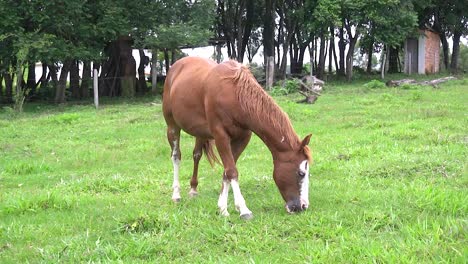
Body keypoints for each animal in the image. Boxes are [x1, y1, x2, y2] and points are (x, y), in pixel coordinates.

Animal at [163, 56, 312, 220]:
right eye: (301, 173)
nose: (303, 206)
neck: (235, 94)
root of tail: (175, 67)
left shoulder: (243, 138)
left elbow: (227, 171)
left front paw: (222, 207)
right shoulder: (220, 136)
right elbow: (232, 171)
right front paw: (243, 210)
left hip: (199, 132)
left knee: (197, 155)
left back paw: (193, 189)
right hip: (172, 126)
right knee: (176, 156)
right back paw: (176, 194)